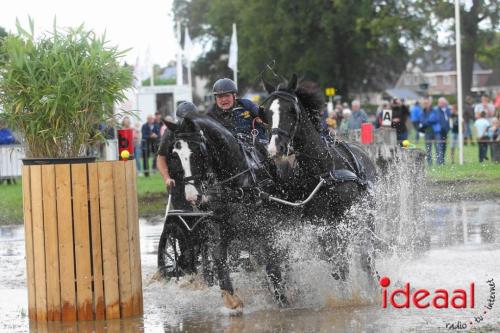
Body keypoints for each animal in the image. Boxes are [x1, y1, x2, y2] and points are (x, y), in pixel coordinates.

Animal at [260, 74, 376, 282]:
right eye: (266, 113)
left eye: (292, 110)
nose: (275, 148)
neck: (323, 171)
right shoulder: (318, 223)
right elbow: (336, 263)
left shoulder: (345, 217)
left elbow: (345, 258)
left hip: (367, 213)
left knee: (367, 254)